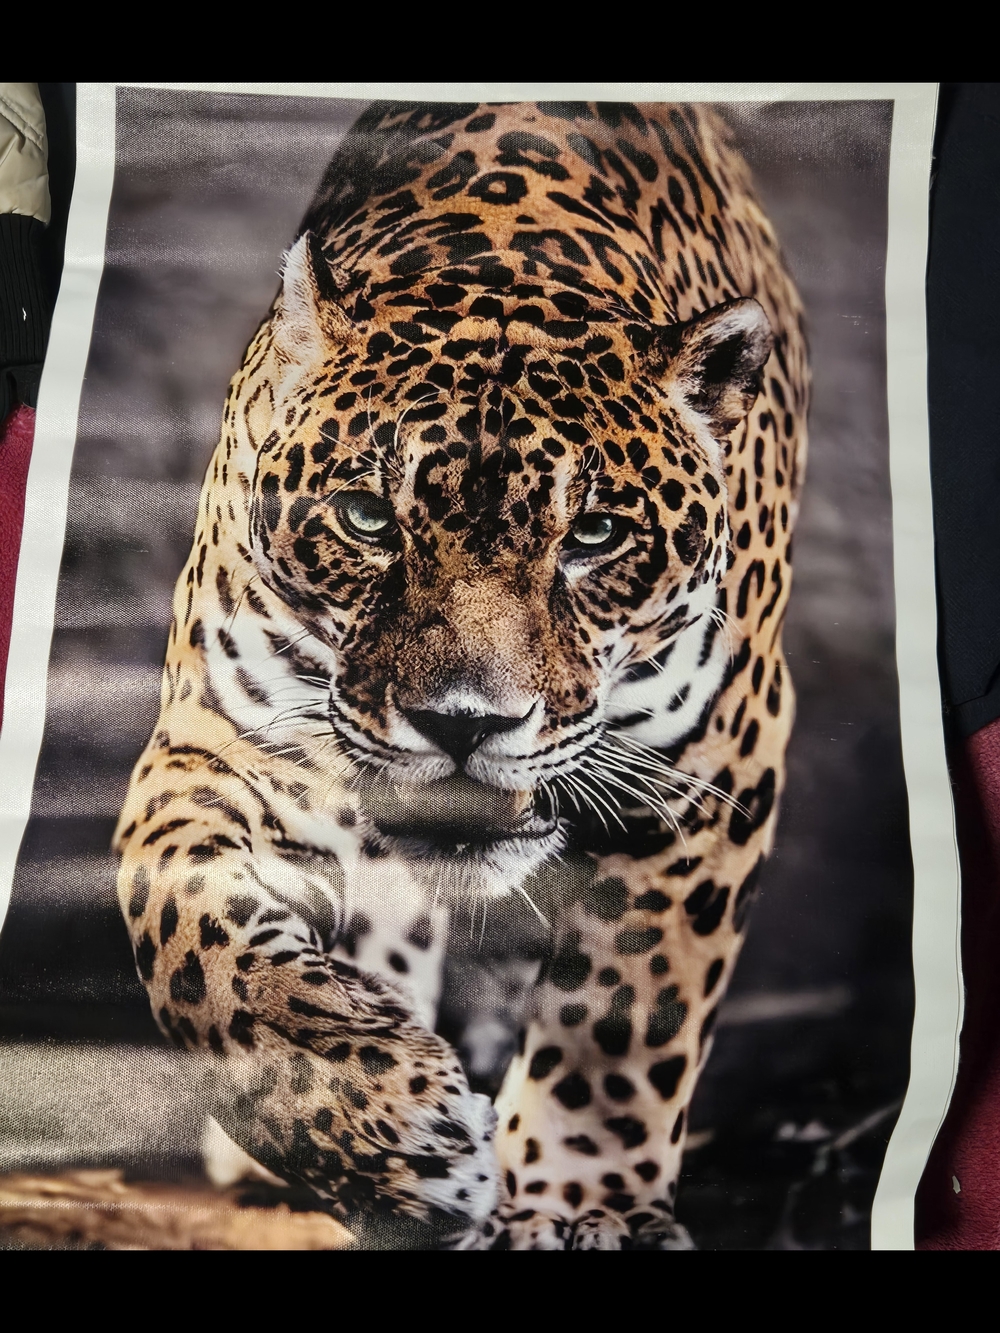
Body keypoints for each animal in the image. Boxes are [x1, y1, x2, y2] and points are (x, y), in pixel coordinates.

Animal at [113, 98, 807, 1250]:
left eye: (595, 535)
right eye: (366, 518)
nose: (464, 722)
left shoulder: (710, 766)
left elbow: (623, 1012)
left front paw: (584, 1203)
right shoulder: (222, 740)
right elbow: (195, 933)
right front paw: (388, 1134)